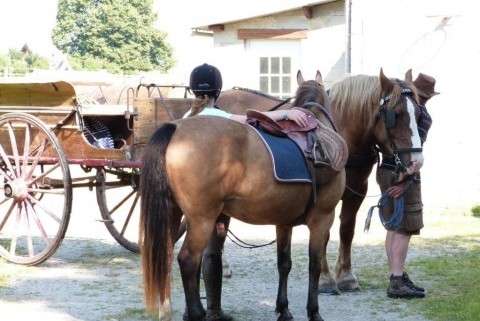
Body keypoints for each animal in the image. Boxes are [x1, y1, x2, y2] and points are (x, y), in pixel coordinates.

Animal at [139, 70, 344, 320]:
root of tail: (175, 129)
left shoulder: (284, 223)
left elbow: (284, 263)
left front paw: (283, 309)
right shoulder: (322, 219)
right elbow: (314, 265)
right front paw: (313, 312)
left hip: (173, 214)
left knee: (166, 256)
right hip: (201, 219)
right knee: (188, 260)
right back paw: (196, 312)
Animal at [216, 69, 426, 294]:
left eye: (419, 114)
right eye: (395, 115)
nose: (416, 162)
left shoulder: (357, 191)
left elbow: (347, 230)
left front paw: (346, 276)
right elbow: (324, 237)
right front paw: (325, 279)